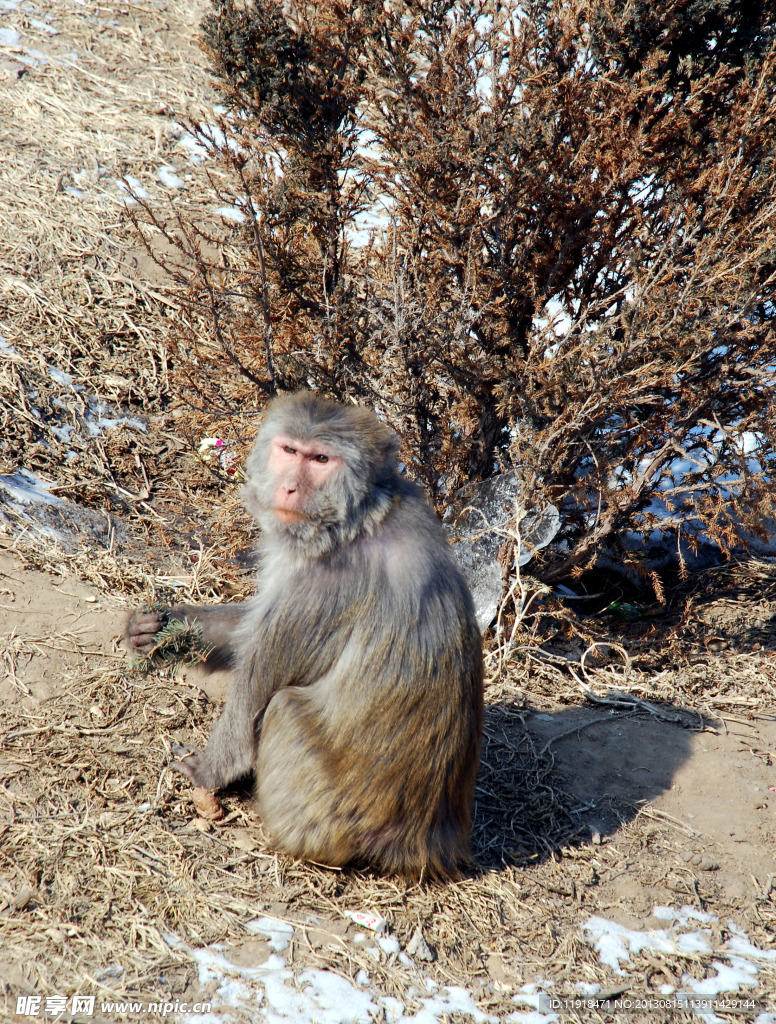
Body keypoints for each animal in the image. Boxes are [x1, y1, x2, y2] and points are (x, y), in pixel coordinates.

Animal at [125, 395, 481, 876]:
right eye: (290, 451)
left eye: (321, 460)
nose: (290, 489)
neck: (360, 517)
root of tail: (418, 845)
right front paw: (161, 625)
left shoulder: (324, 585)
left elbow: (254, 691)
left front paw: (208, 769)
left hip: (317, 815)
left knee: (285, 706)